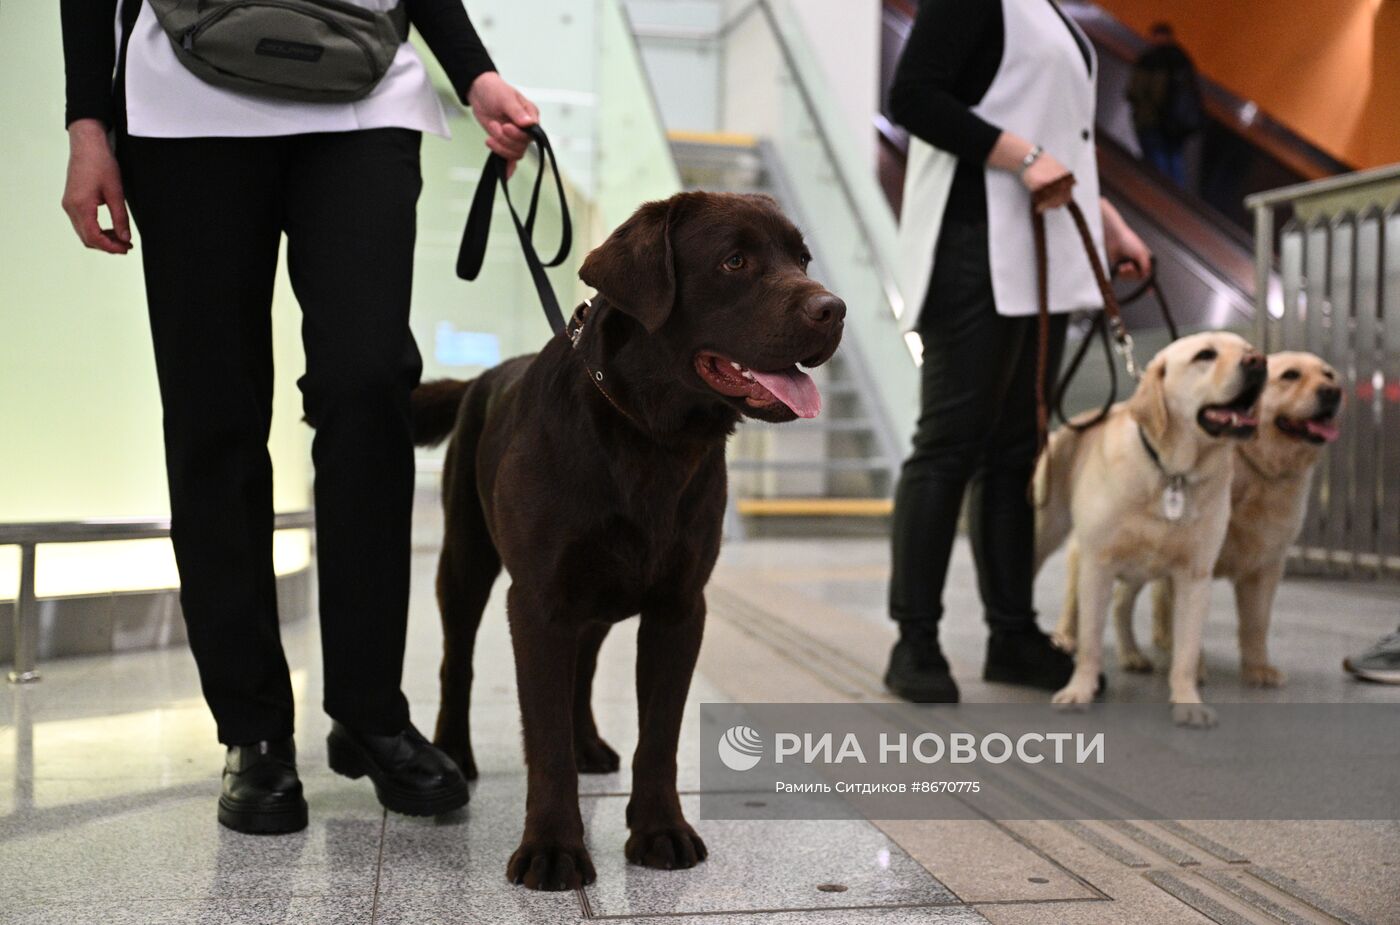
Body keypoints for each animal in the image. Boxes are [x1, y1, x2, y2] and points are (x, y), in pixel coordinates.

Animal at [406, 191, 840, 890]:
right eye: (735, 260)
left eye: (801, 260)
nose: (834, 309)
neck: (650, 438)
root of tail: (482, 377)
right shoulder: (538, 602)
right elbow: (544, 738)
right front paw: (552, 847)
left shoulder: (679, 607)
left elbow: (658, 735)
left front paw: (661, 830)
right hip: (466, 561)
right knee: (458, 660)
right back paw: (452, 751)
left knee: (581, 669)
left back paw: (588, 744)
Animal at [1030, 328, 1271, 727]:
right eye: (1205, 355)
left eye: (1250, 350)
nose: (1258, 362)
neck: (1173, 473)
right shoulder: (1099, 564)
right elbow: (1091, 639)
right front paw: (1079, 690)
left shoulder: (1194, 575)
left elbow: (1186, 650)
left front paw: (1188, 702)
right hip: (1048, 531)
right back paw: (1063, 637)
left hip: (1141, 569)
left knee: (1122, 605)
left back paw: (1132, 654)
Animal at [1092, 354, 1344, 685]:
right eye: (1291, 375)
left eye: (1328, 375)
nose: (1333, 392)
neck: (1253, 466)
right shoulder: (1189, 563)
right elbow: (1188, 625)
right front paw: (1194, 670)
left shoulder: (1265, 566)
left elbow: (1256, 624)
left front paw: (1258, 668)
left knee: (1125, 601)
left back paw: (1139, 652)